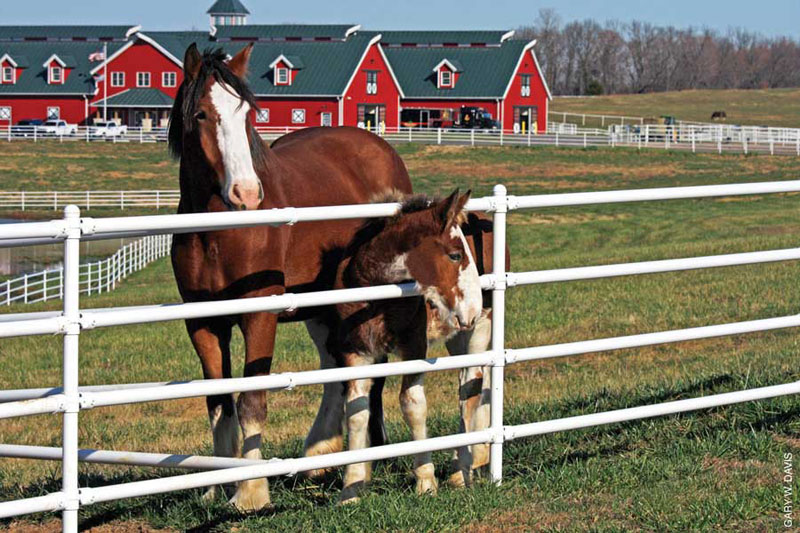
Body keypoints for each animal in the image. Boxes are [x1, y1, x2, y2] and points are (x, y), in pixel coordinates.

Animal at [167, 43, 412, 510]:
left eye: (248, 113)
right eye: (202, 114)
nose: (246, 193)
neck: (218, 231)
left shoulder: (259, 317)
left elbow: (251, 402)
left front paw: (251, 492)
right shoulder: (202, 323)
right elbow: (218, 402)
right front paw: (214, 486)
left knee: (369, 375)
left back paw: (371, 456)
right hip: (321, 306)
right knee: (333, 368)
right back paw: (318, 455)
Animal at [306, 191, 482, 502]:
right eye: (455, 255)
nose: (474, 308)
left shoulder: (415, 347)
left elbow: (413, 404)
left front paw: (425, 481)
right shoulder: (355, 352)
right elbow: (357, 411)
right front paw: (351, 488)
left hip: (472, 334)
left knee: (471, 389)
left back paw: (464, 469)